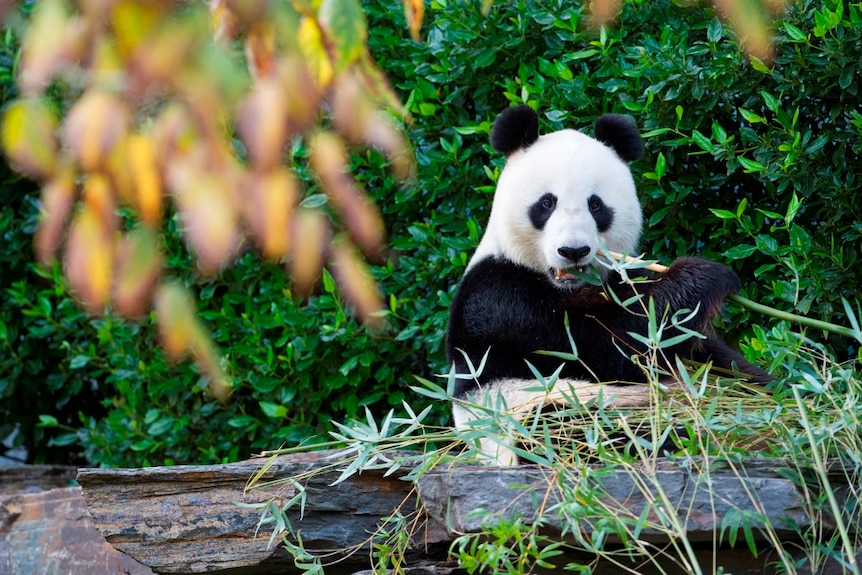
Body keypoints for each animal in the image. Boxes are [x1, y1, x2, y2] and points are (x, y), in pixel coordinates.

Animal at [448, 104, 772, 468]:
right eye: (546, 204)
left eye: (596, 205)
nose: (573, 251)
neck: (571, 287)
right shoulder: (499, 297)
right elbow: (614, 342)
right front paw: (708, 275)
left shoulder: (621, 279)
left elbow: (700, 350)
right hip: (546, 416)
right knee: (589, 430)